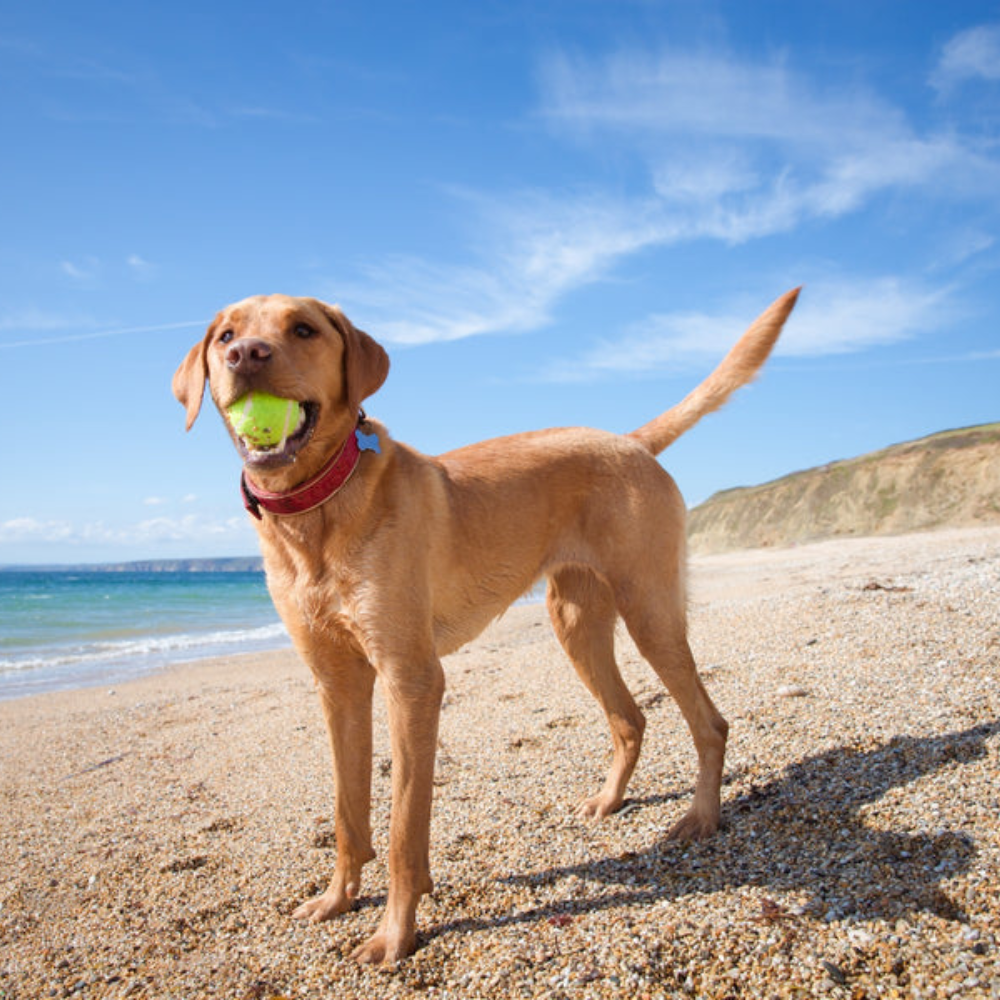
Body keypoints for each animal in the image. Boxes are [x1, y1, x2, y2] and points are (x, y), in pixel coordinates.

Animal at [170, 288, 796, 960]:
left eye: (304, 329)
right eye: (225, 334)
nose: (246, 354)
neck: (316, 509)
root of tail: (629, 441)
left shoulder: (412, 679)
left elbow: (403, 830)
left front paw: (395, 933)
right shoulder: (337, 684)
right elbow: (346, 812)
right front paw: (338, 899)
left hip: (649, 611)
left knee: (710, 722)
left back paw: (702, 818)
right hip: (575, 622)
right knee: (630, 719)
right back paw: (609, 800)